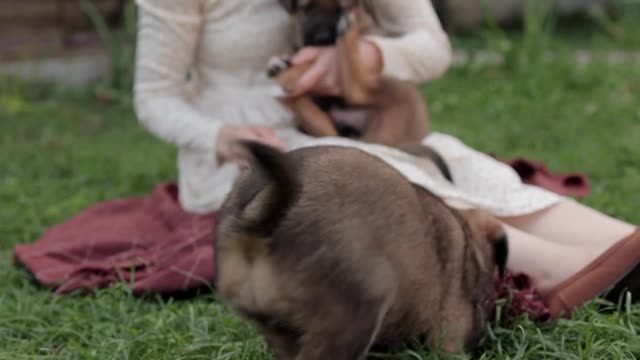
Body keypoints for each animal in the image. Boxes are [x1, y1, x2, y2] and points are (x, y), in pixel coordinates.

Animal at [264, 0, 430, 148]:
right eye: (308, 8)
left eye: (341, 7)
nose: (322, 38)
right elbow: (296, 51)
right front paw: (281, 61)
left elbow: (311, 60)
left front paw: (290, 72)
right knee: (326, 128)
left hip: (400, 88)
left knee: (359, 92)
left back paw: (347, 29)